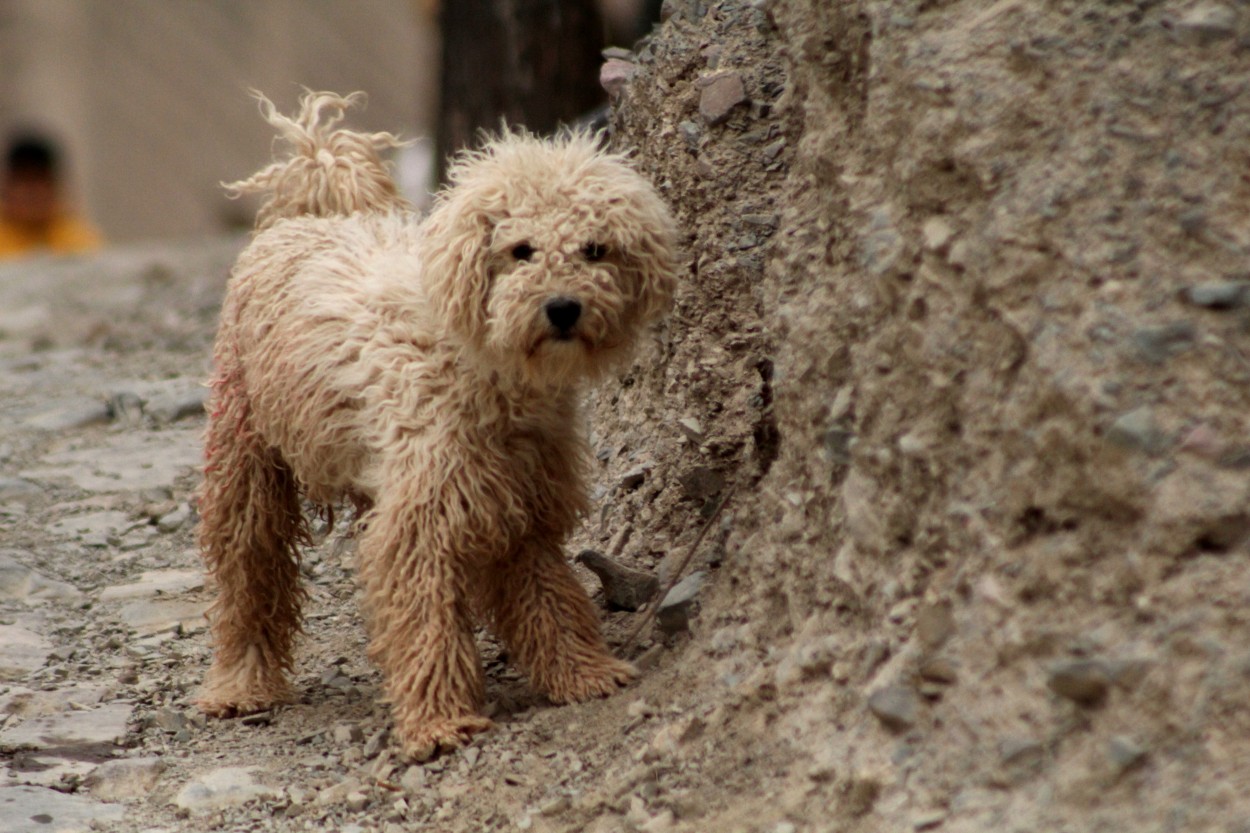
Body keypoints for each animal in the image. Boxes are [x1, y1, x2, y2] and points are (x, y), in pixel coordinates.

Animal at [196, 92, 680, 760]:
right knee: (248, 575)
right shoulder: (419, 520)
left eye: (595, 249)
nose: (562, 308)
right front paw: (438, 721)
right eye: (520, 249)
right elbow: (426, 623)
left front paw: (583, 671)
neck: (480, 363)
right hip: (247, 461)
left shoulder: (521, 512)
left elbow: (551, 597)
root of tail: (316, 209)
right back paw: (241, 686)